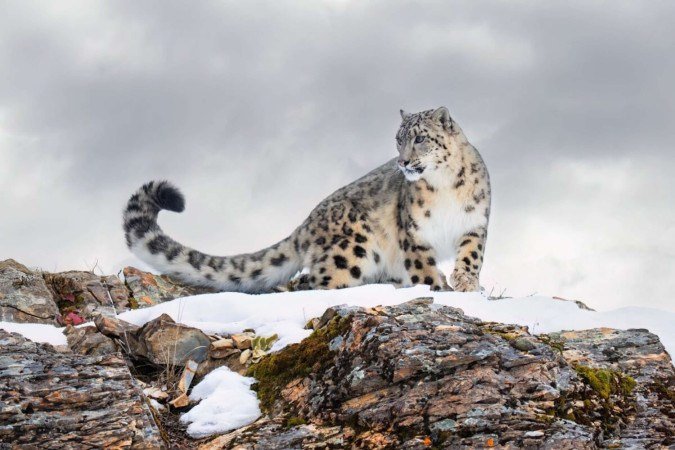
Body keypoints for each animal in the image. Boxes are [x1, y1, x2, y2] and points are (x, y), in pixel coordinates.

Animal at [123, 107, 491, 293]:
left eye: (419, 138)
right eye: (397, 140)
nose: (402, 162)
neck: (445, 188)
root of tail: (306, 224)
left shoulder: (474, 223)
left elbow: (471, 256)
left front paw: (466, 284)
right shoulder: (413, 233)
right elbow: (423, 267)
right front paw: (437, 287)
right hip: (352, 250)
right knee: (317, 280)